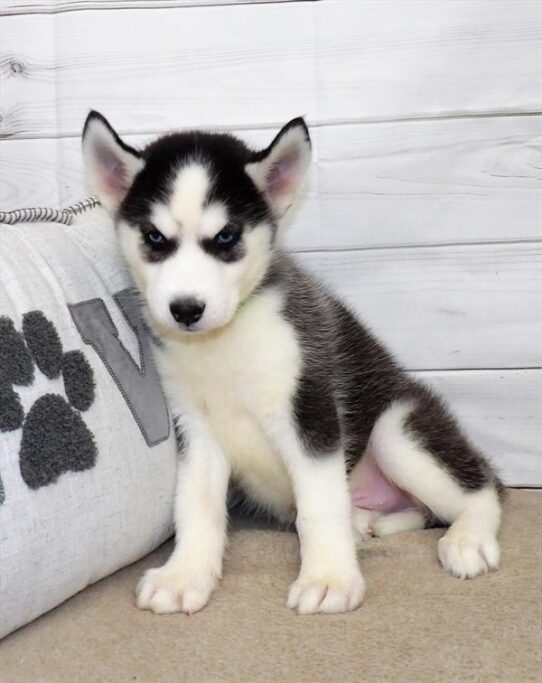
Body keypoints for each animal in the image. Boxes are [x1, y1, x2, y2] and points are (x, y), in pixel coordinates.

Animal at [83, 111, 504, 616]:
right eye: (154, 238)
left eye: (226, 237)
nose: (186, 309)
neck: (223, 343)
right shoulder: (195, 429)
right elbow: (196, 505)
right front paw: (185, 575)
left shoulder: (310, 409)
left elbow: (319, 507)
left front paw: (328, 577)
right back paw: (368, 524)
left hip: (397, 429)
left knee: (484, 490)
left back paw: (467, 537)